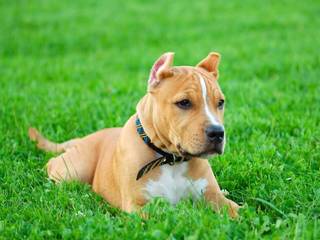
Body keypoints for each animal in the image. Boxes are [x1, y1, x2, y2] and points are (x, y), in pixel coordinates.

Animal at [28, 52, 240, 218]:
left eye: (220, 102)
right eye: (184, 103)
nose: (217, 132)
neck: (170, 159)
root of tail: (81, 139)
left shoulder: (214, 197)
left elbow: (240, 211)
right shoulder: (138, 206)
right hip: (73, 170)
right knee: (52, 165)